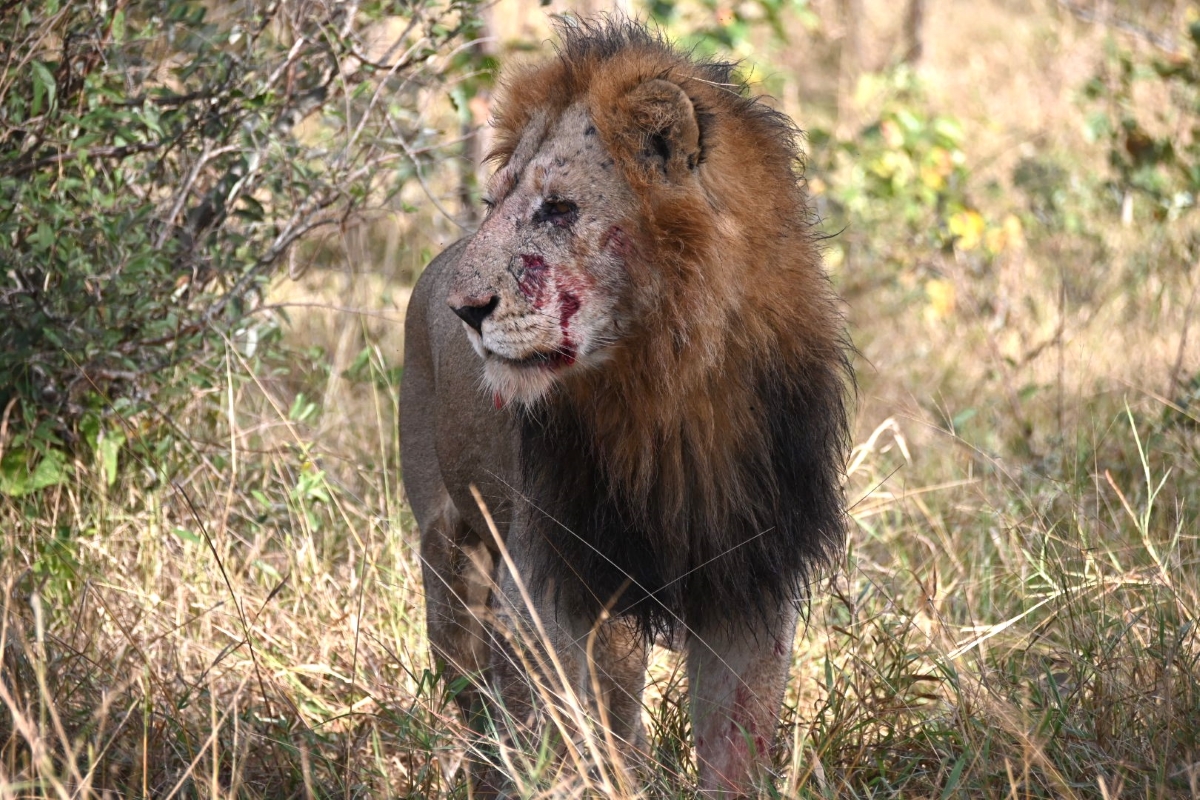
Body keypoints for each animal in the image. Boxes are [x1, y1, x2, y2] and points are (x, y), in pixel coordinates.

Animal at [398, 20, 849, 800]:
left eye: (559, 209)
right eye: (495, 204)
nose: (465, 310)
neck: (665, 384)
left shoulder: (749, 580)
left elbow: (737, 742)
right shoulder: (545, 577)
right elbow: (552, 734)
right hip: (449, 548)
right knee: (473, 694)